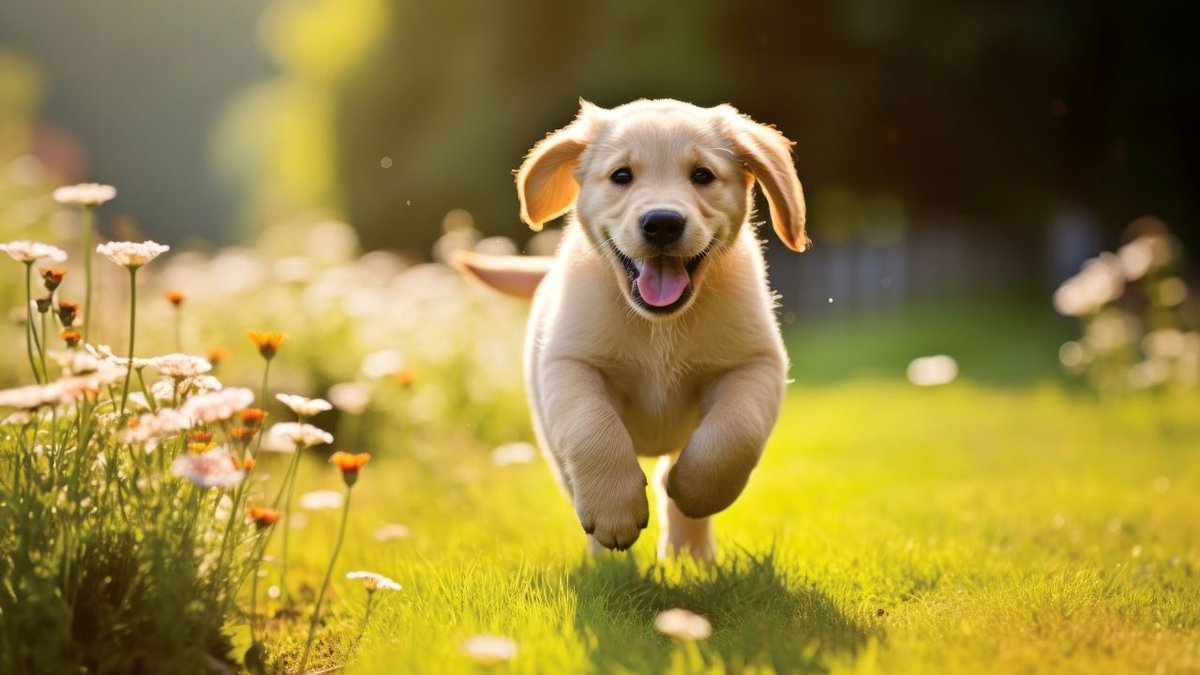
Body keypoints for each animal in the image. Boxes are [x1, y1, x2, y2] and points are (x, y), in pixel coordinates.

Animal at [458, 97, 806, 559]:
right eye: (621, 176)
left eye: (703, 175)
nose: (662, 223)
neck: (658, 326)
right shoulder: (570, 364)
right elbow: (592, 428)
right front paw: (613, 513)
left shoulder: (754, 362)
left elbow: (735, 433)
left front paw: (696, 492)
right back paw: (608, 561)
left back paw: (690, 556)